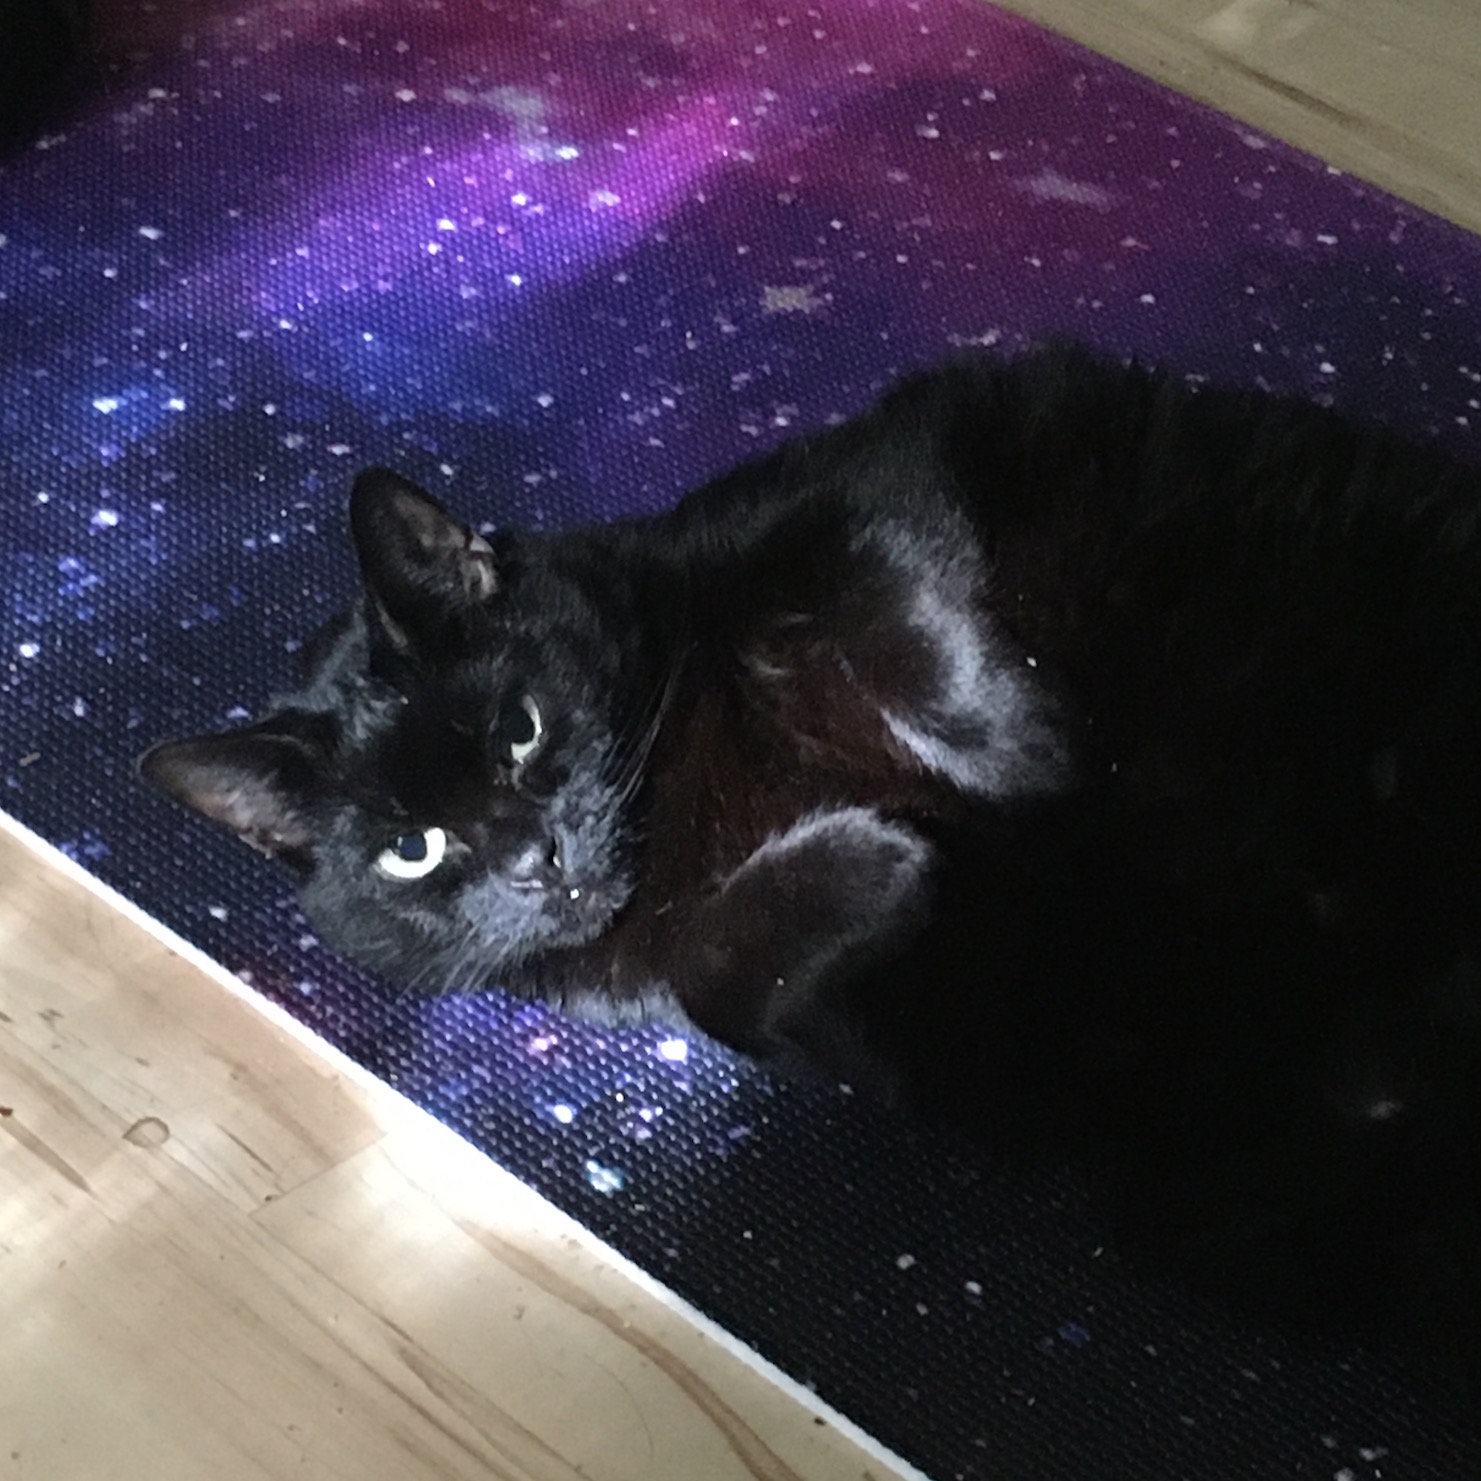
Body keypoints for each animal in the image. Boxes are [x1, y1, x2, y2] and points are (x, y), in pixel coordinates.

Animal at [141, 343, 1481, 1374]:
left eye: (517, 726)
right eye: (410, 852)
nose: (530, 855)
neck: (696, 790)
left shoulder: (866, 476)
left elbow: (875, 604)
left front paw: (1014, 747)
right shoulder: (877, 1019)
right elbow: (719, 973)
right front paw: (875, 857)